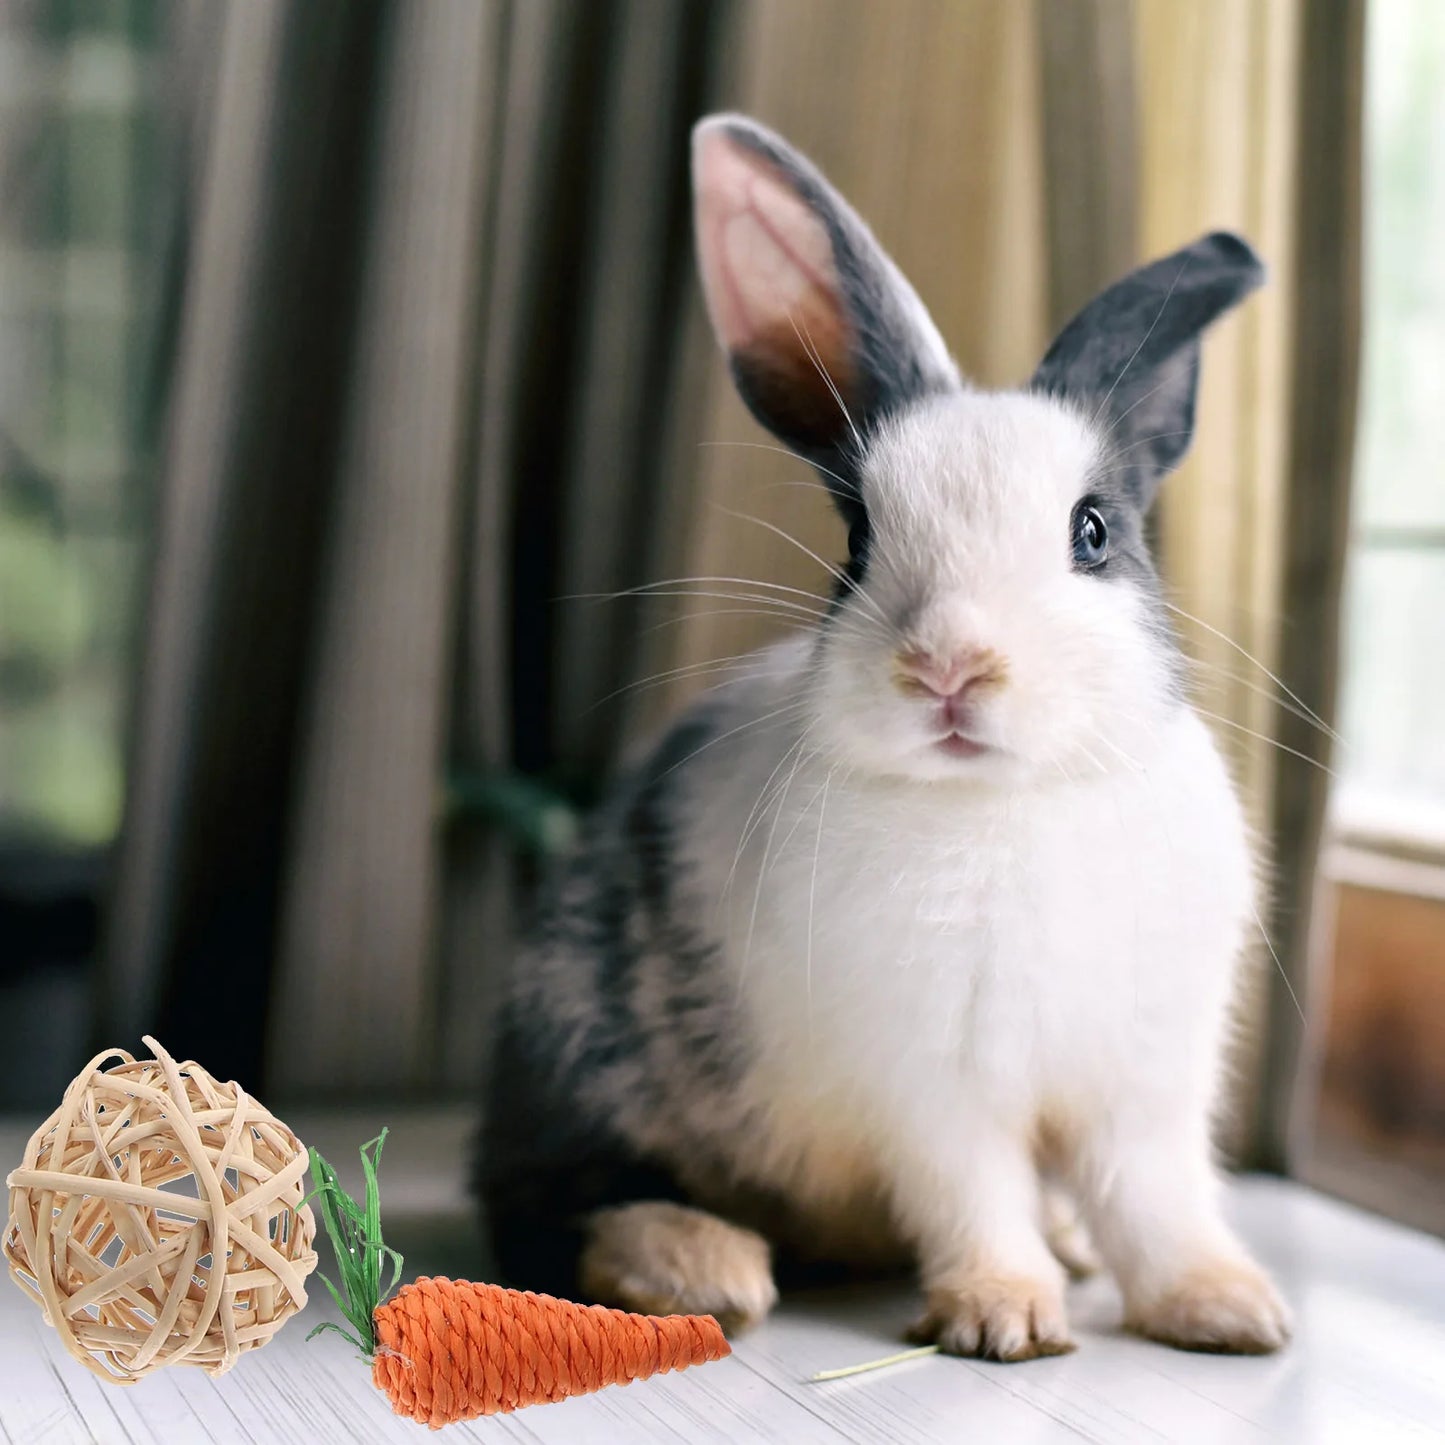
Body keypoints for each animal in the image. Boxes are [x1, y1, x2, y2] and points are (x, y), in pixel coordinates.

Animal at [475, 113, 1291, 1362]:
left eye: (1092, 530)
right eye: (856, 541)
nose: (947, 665)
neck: (1007, 802)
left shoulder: (1143, 1082)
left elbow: (1155, 1199)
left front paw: (1229, 1309)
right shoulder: (932, 1086)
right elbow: (974, 1193)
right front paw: (1004, 1316)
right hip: (579, 1046)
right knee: (550, 1202)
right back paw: (700, 1264)